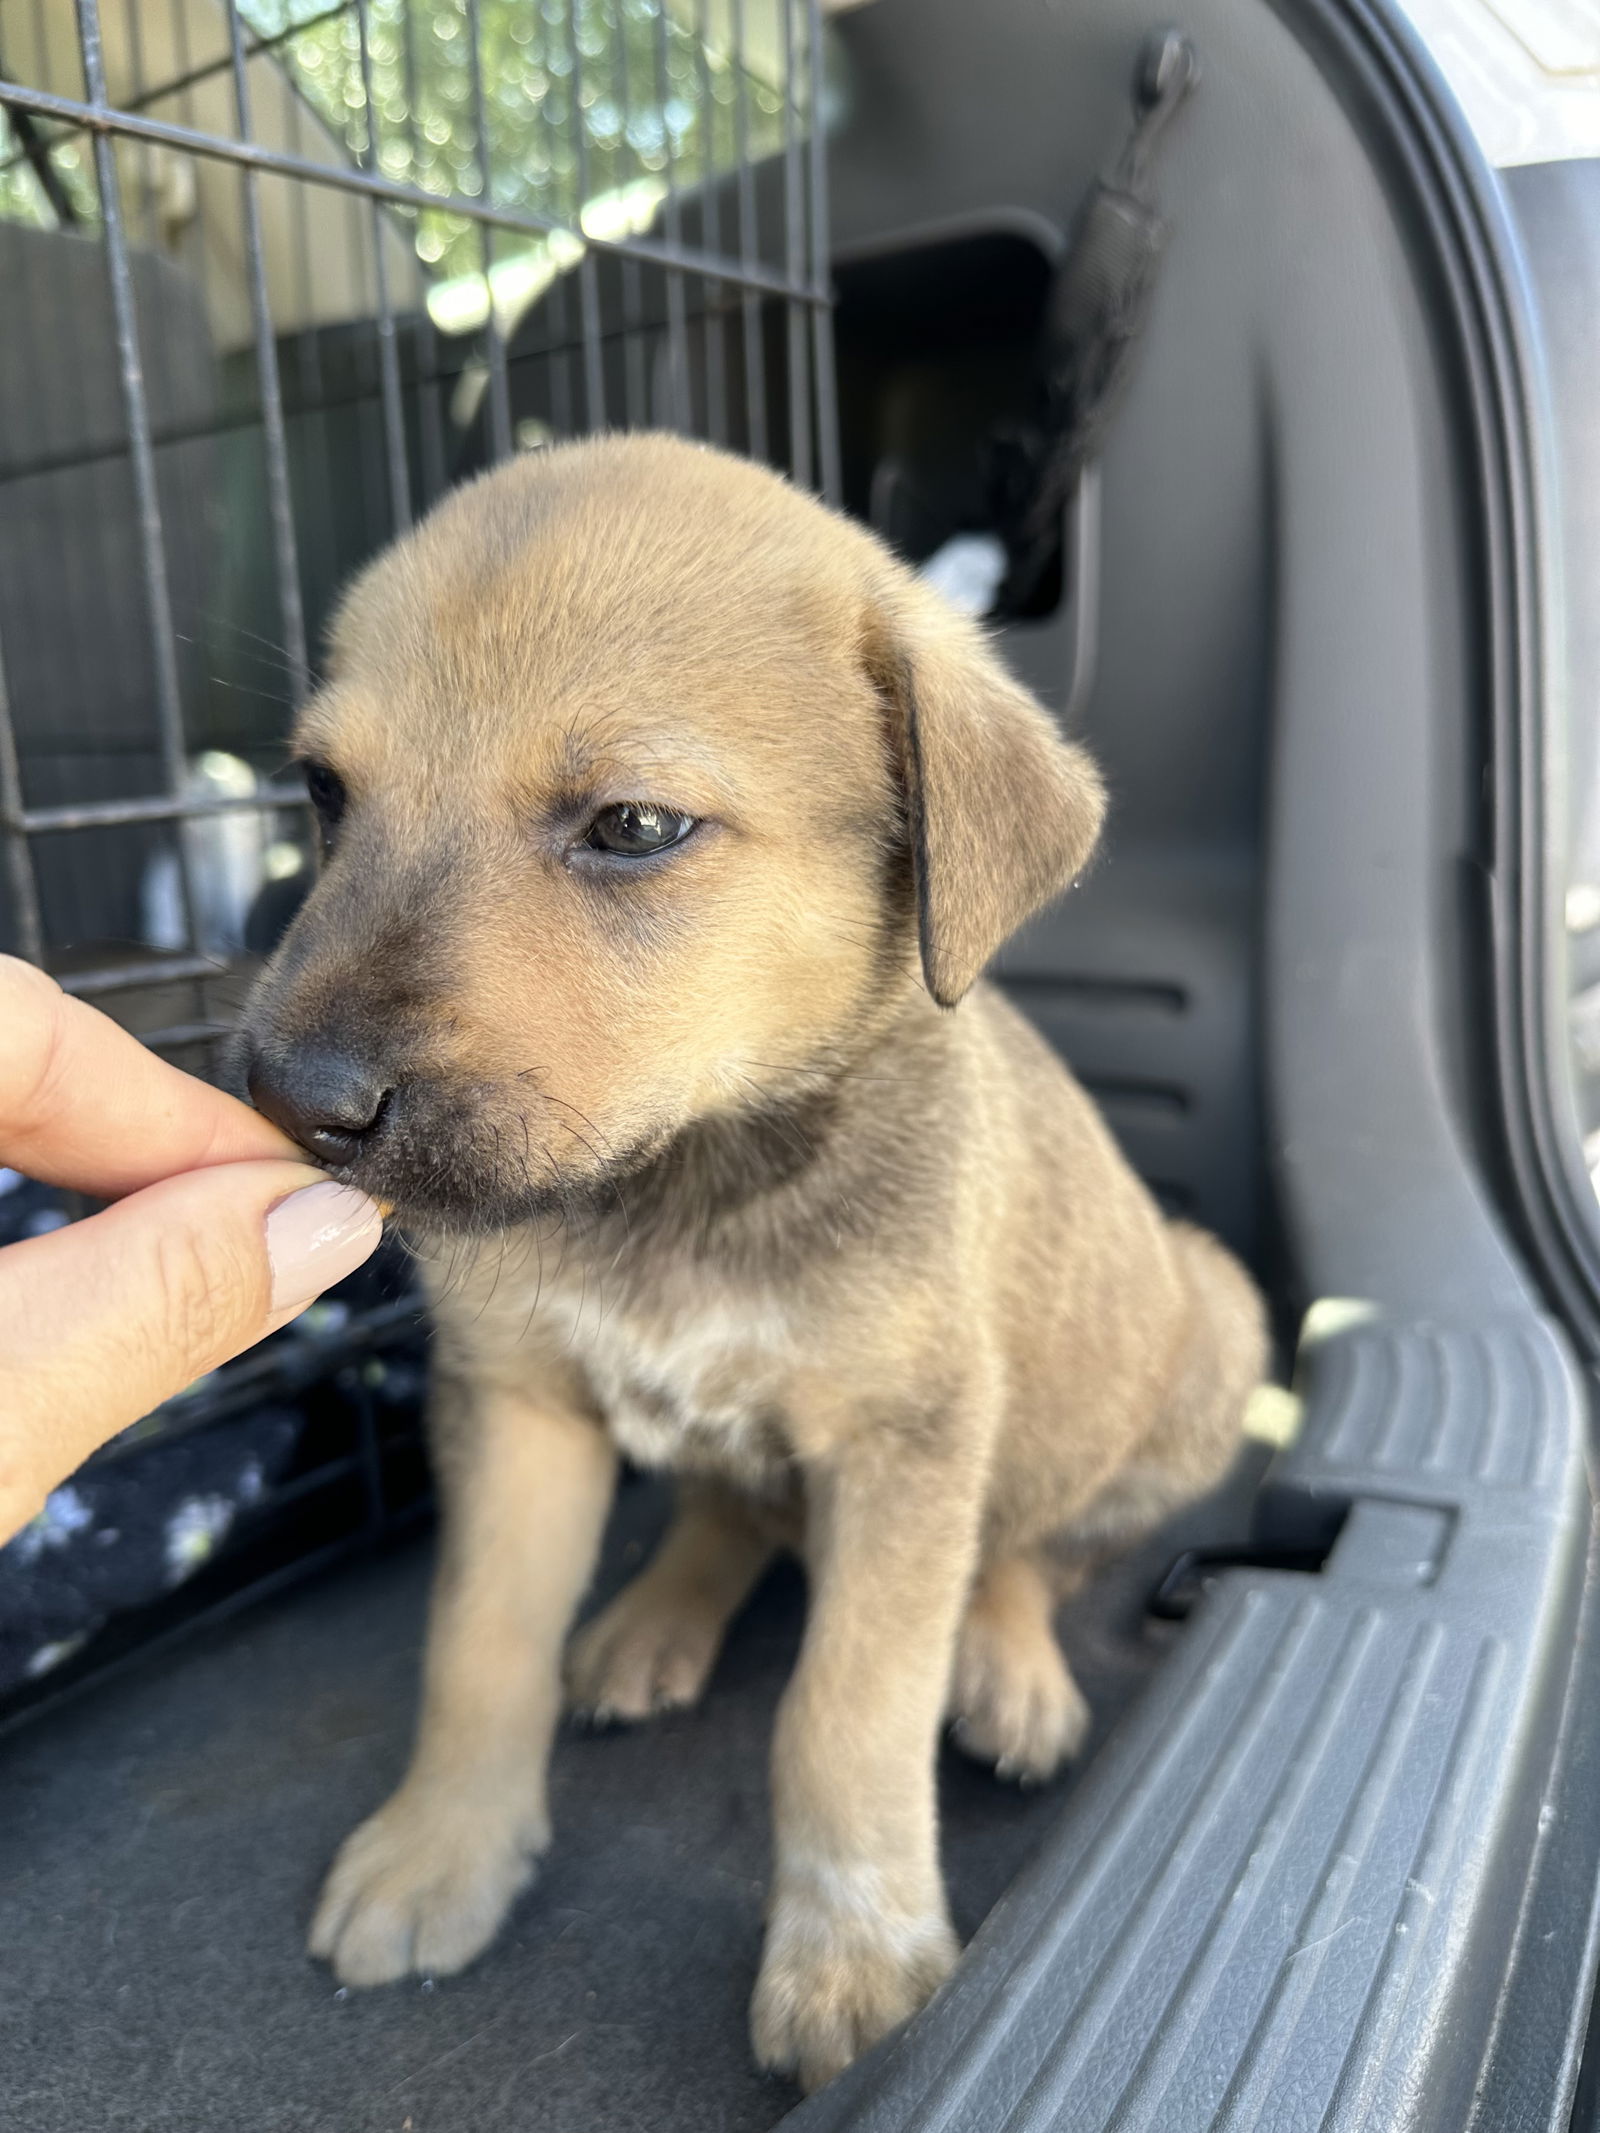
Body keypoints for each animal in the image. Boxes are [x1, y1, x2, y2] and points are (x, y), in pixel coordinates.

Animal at [241, 432, 1262, 2081]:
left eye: (635, 827)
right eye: (325, 792)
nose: (293, 1098)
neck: (686, 1177)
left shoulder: (907, 1441)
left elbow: (845, 1709)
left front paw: (852, 1948)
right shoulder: (515, 1401)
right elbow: (478, 1646)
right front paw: (439, 1850)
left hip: (1200, 1338)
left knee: (1033, 1549)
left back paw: (1010, 1669)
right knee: (731, 1512)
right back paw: (653, 1625)